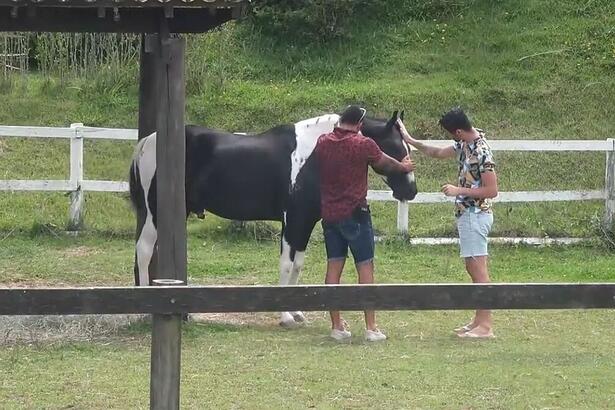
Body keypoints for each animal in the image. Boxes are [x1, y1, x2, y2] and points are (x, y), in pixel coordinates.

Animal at [129, 109, 418, 326]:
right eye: (394, 146)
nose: (411, 190)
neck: (313, 155)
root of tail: (148, 142)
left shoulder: (305, 222)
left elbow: (298, 265)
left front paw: (297, 311)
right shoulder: (293, 221)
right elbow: (286, 265)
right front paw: (285, 315)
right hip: (155, 214)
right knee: (144, 250)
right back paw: (143, 308)